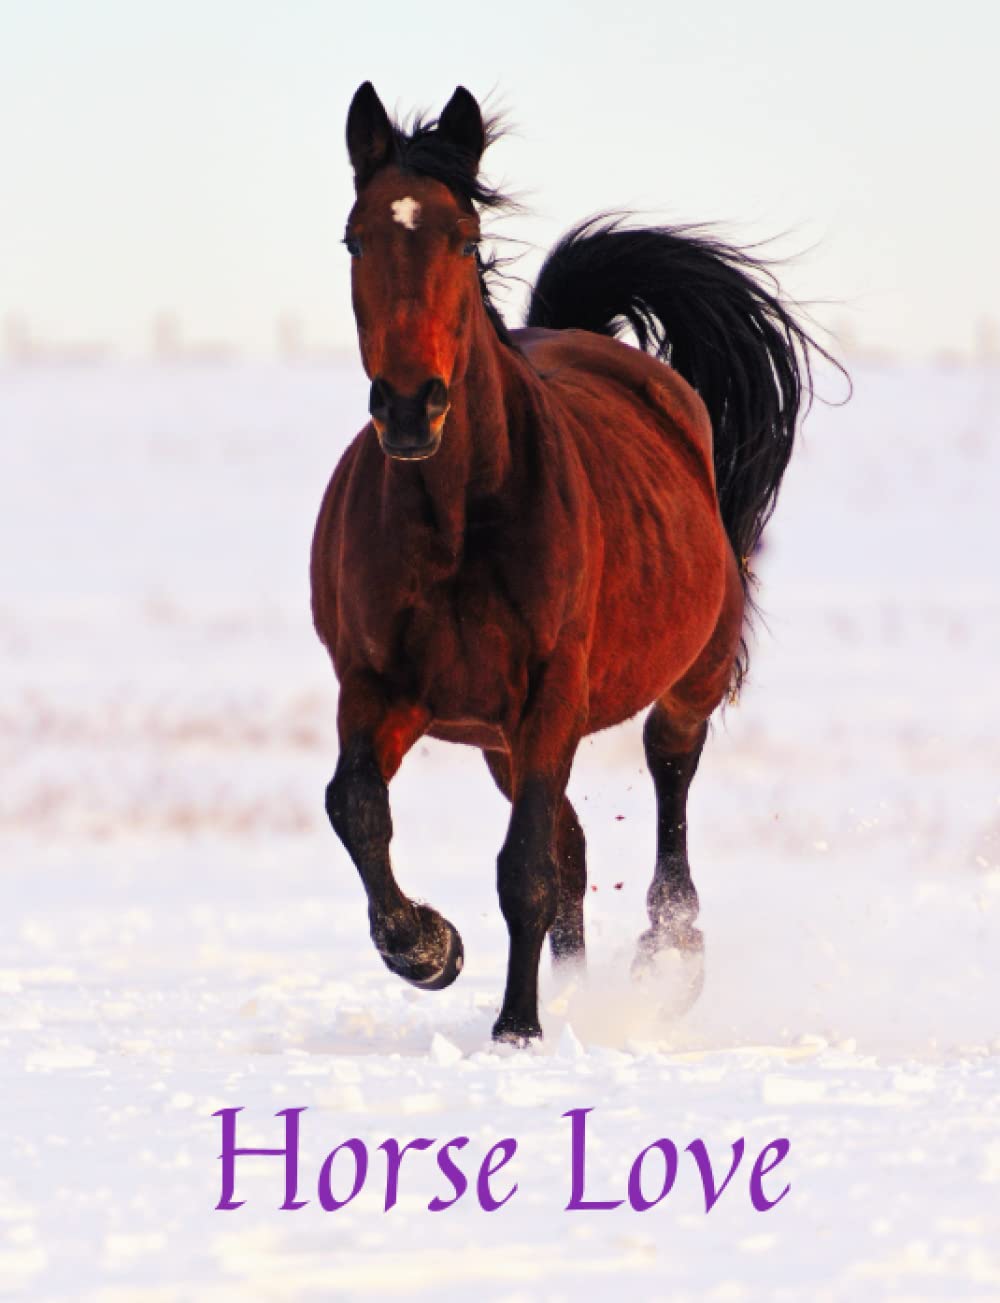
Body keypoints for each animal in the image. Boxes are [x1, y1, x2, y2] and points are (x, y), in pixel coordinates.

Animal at [311, 82, 835, 1044]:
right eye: (356, 239)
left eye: (464, 238)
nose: (408, 406)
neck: (457, 524)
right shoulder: (378, 686)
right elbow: (357, 806)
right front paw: (426, 946)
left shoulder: (550, 691)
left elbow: (524, 869)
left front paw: (517, 1027)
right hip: (498, 737)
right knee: (573, 847)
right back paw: (577, 988)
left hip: (686, 679)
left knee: (668, 785)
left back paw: (668, 956)